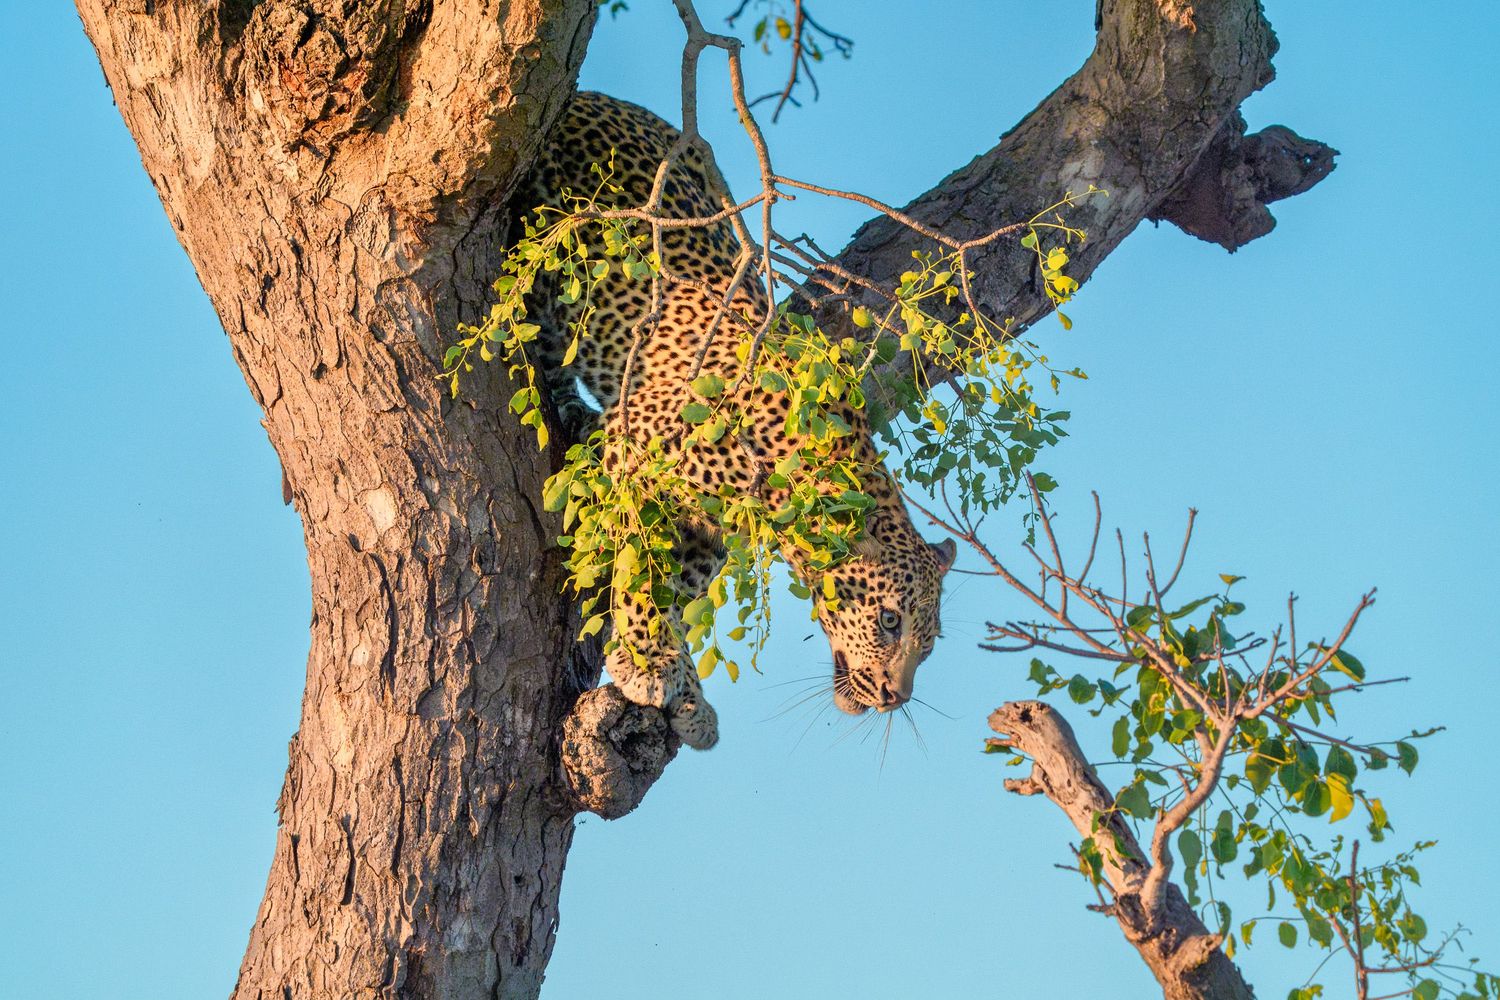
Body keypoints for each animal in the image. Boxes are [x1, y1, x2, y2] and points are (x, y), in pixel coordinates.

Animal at [519, 91, 957, 751]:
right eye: (887, 620)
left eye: (928, 647)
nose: (894, 697)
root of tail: (588, 96)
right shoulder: (637, 456)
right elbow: (642, 568)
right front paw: (649, 665)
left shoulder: (710, 534)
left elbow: (676, 592)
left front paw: (687, 696)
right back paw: (571, 410)